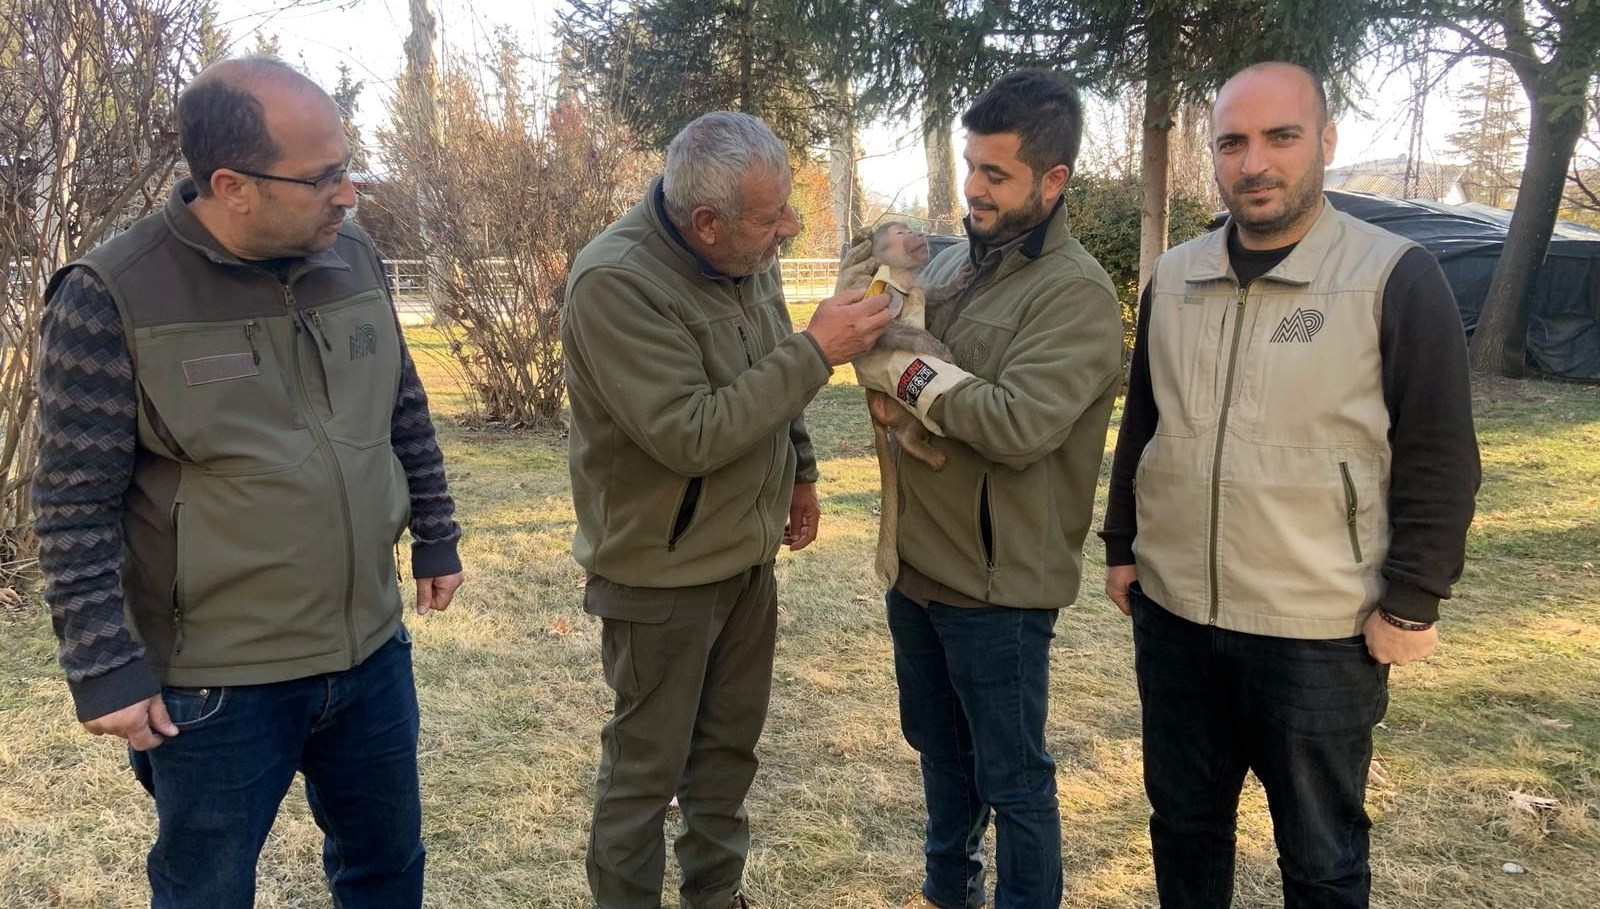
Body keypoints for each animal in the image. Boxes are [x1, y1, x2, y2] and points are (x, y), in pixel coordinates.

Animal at [857, 224, 953, 585]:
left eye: (910, 228)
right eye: (900, 231)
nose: (919, 233)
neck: (902, 275)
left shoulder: (916, 284)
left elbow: (933, 292)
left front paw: (960, 280)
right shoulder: (884, 291)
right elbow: (883, 332)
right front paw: (937, 350)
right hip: (895, 403)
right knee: (908, 421)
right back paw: (915, 443)